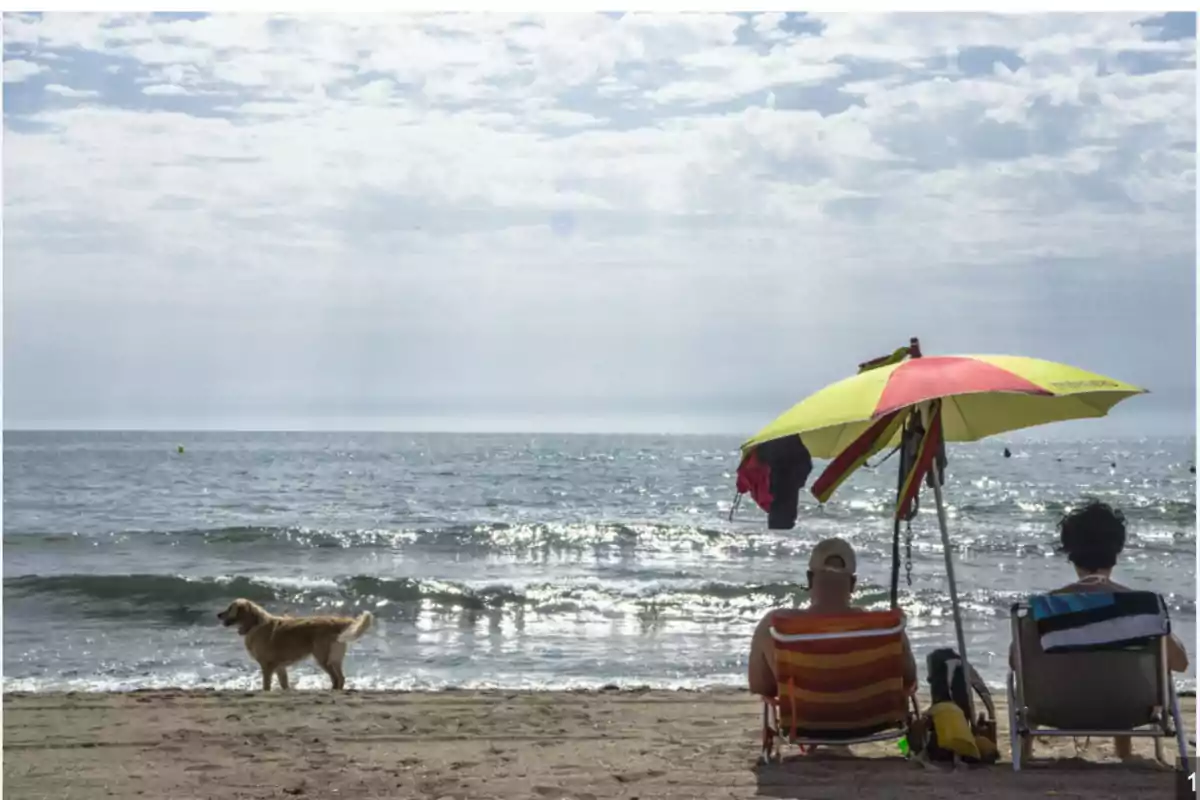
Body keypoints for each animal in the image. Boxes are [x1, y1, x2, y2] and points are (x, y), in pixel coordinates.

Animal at [218, 597, 372, 690]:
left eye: (230, 608)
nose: (218, 614)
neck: (254, 624)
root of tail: (338, 621)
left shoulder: (267, 666)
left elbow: (266, 686)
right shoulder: (280, 668)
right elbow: (284, 685)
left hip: (322, 658)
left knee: (336, 679)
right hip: (334, 658)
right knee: (341, 678)